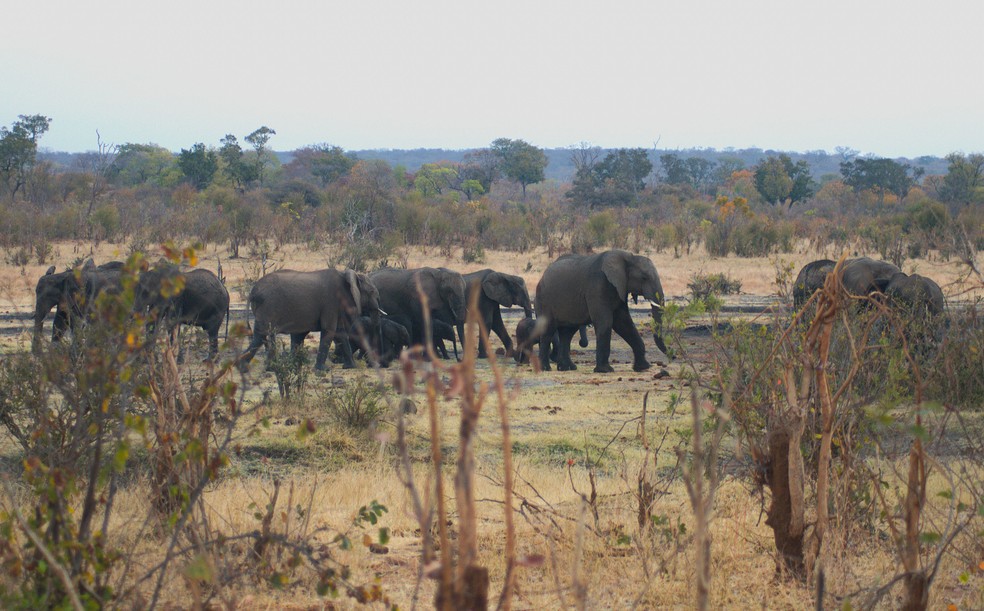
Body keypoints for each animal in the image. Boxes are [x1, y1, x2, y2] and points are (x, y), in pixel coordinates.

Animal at [242, 268, 381, 371]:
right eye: (371, 291)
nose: (372, 364)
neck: (348, 275)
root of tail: (253, 291)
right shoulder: (331, 302)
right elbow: (329, 330)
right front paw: (322, 370)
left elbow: (340, 333)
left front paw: (350, 367)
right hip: (267, 307)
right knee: (261, 335)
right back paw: (245, 367)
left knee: (260, 336)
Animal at [535, 249, 669, 373]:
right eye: (644, 278)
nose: (671, 355)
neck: (629, 258)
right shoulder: (597, 285)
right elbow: (605, 322)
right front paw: (605, 370)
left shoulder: (620, 289)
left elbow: (624, 324)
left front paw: (643, 367)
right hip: (544, 300)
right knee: (548, 331)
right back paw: (545, 369)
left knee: (567, 333)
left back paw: (567, 368)